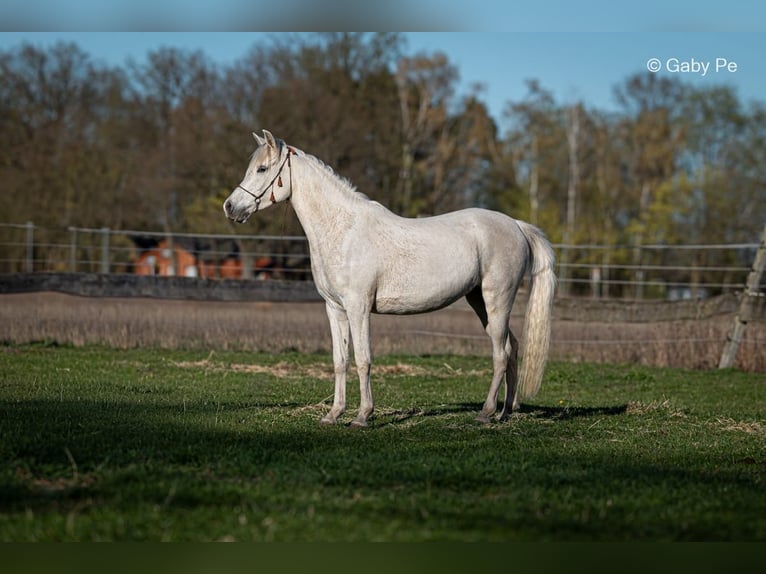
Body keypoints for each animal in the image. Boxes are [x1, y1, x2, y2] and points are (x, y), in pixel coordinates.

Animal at [224, 130, 556, 427]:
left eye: (262, 169)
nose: (230, 206)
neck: (344, 230)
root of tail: (516, 224)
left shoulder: (358, 307)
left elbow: (363, 359)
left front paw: (362, 416)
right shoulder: (334, 308)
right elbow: (340, 361)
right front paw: (333, 415)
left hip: (497, 299)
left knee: (501, 354)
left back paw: (486, 413)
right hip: (480, 302)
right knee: (512, 348)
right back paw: (506, 411)